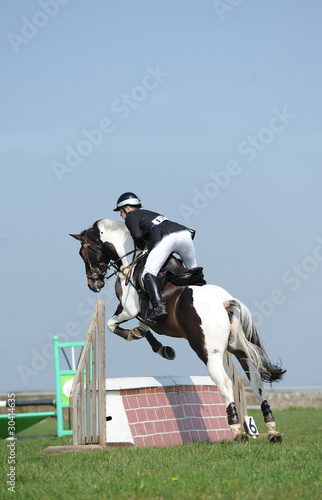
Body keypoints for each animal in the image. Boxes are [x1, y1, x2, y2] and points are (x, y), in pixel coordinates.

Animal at [71, 218, 286, 442]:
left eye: (82, 253)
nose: (93, 284)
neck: (129, 260)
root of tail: (224, 301)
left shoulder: (130, 308)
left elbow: (113, 325)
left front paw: (137, 336)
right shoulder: (145, 316)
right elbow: (144, 327)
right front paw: (161, 348)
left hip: (209, 353)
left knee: (226, 383)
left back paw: (237, 430)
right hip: (239, 349)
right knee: (257, 383)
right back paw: (272, 431)